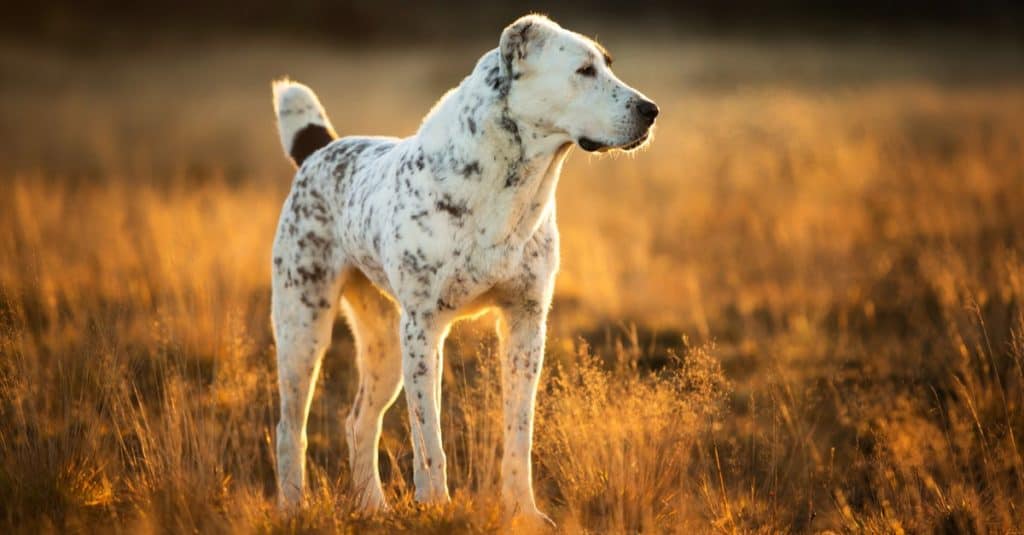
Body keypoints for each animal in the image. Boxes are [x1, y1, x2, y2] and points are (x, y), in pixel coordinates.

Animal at [268, 13, 659, 524]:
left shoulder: (526, 325)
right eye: (584, 70)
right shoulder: (424, 329)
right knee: (289, 428)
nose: (652, 110)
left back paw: (374, 507)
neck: (509, 190)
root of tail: (318, 149)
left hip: (383, 345)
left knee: (359, 422)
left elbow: (519, 433)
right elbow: (428, 438)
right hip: (304, 328)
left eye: (608, 65)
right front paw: (436, 507)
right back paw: (293, 507)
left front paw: (523, 511)